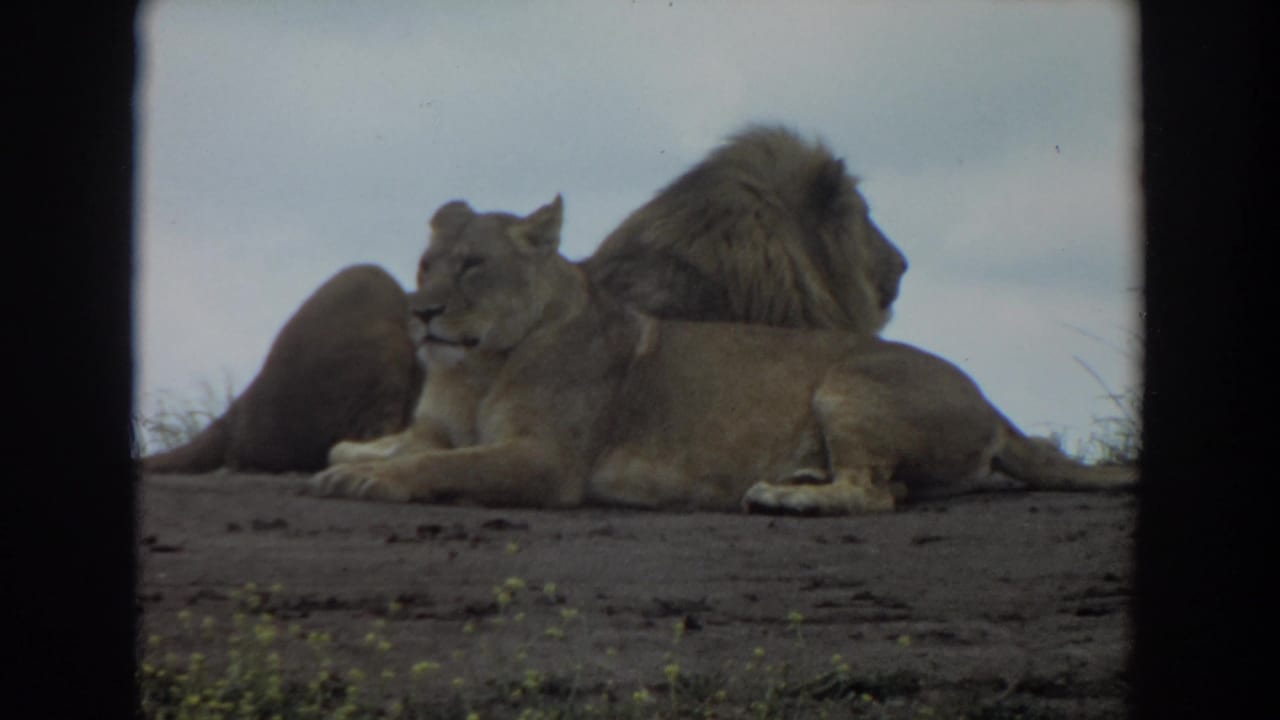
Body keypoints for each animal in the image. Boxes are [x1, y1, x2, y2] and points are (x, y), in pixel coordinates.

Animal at [311, 196, 1134, 514]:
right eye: (426, 265)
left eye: (474, 267)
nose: (420, 313)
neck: (476, 368)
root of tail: (994, 403)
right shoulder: (439, 424)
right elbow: (408, 443)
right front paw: (354, 453)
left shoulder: (548, 461)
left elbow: (447, 465)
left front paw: (367, 477)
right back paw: (799, 475)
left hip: (849, 384)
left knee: (875, 493)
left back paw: (788, 496)